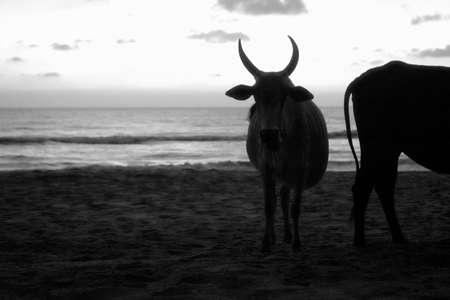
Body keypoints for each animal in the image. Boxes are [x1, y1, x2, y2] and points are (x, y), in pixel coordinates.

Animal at [227, 36, 328, 252]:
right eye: (255, 94)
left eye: (285, 95)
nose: (268, 135)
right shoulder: (265, 170)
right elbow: (268, 206)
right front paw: (266, 242)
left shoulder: (301, 171)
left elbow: (295, 208)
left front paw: (297, 243)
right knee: (276, 200)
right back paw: (275, 237)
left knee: (283, 199)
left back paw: (288, 236)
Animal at [344, 60, 450, 246]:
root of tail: (360, 78)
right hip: (380, 147)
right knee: (365, 187)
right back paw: (361, 241)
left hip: (387, 151)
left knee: (382, 187)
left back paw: (397, 238)